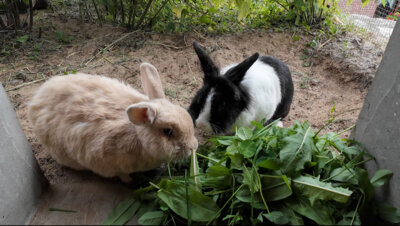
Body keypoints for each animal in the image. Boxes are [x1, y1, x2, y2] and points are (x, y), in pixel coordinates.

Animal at [27, 62, 198, 183]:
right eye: (168, 131)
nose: (193, 146)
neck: (139, 136)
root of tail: (36, 100)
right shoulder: (112, 165)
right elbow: (122, 175)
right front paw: (129, 181)